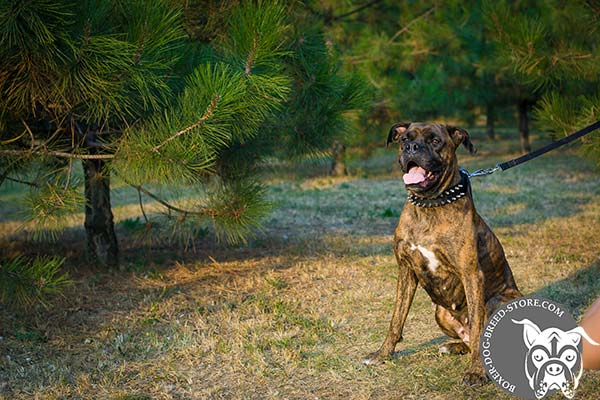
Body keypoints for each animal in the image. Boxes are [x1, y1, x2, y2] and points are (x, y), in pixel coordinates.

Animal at [364, 121, 524, 384]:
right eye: (404, 139)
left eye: (435, 141)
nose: (411, 147)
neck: (429, 204)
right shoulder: (406, 271)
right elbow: (396, 319)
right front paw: (382, 354)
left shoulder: (471, 274)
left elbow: (479, 328)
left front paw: (476, 371)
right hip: (440, 312)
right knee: (468, 341)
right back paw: (452, 346)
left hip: (498, 301)